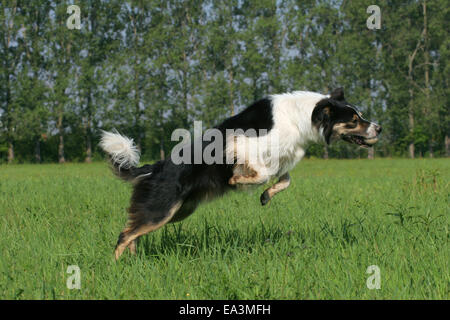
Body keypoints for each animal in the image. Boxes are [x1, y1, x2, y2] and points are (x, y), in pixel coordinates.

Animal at [101, 88, 380, 260]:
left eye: (360, 116)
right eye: (354, 119)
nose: (379, 127)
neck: (302, 118)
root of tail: (155, 167)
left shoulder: (283, 157)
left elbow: (285, 179)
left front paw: (266, 196)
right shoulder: (243, 145)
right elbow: (263, 173)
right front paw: (238, 180)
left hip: (177, 211)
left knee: (133, 231)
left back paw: (134, 262)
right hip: (163, 209)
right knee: (124, 234)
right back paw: (117, 268)